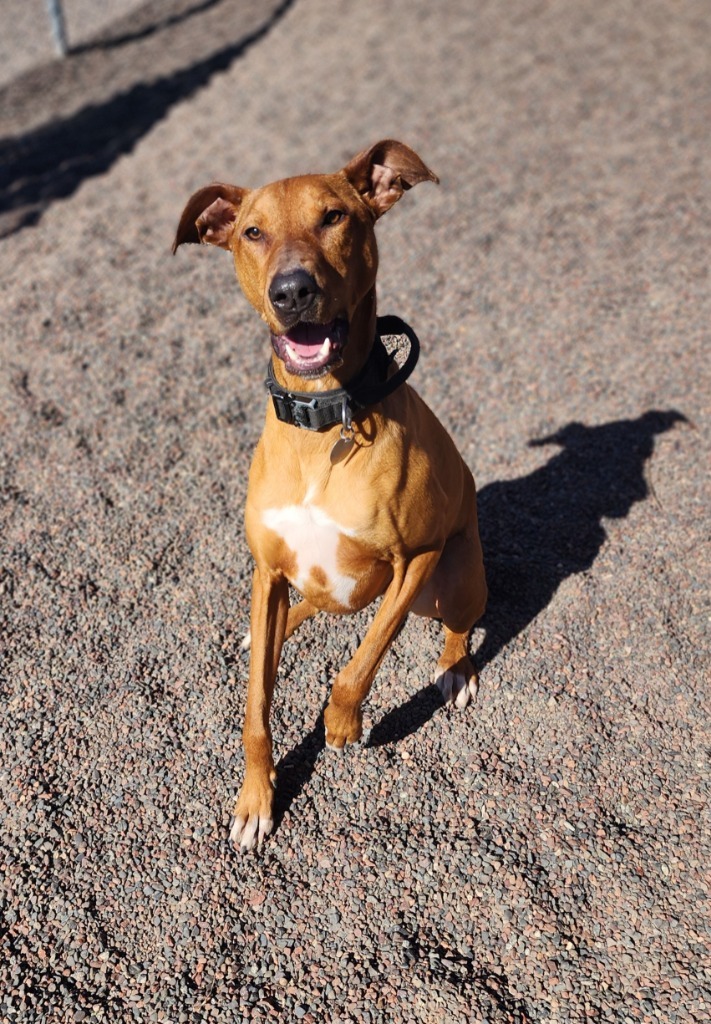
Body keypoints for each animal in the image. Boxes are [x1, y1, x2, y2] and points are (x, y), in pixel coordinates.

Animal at [173, 140, 487, 851]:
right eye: (252, 232)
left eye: (335, 217)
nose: (292, 290)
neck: (325, 423)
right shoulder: (266, 569)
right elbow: (256, 708)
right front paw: (256, 797)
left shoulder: (417, 557)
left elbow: (360, 662)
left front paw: (342, 724)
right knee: (294, 617)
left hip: (455, 579)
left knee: (458, 628)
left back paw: (455, 670)